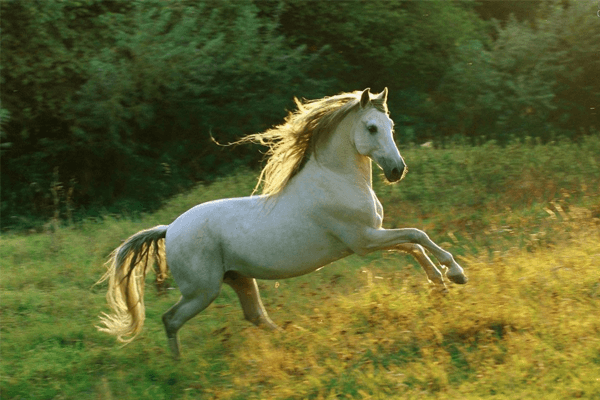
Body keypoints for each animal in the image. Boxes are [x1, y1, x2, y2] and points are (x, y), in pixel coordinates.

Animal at [98, 89, 466, 358]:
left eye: (391, 126)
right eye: (371, 128)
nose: (396, 170)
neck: (336, 179)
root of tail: (169, 229)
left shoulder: (371, 238)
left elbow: (414, 245)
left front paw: (441, 284)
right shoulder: (364, 240)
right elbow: (417, 236)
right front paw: (455, 274)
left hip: (238, 278)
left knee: (254, 316)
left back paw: (293, 340)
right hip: (202, 291)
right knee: (170, 319)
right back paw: (179, 365)